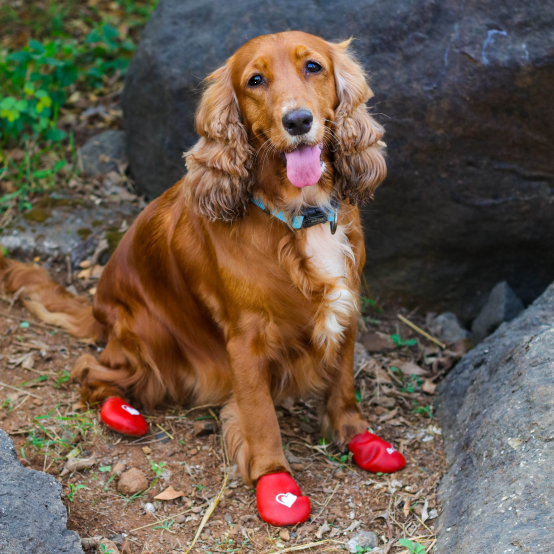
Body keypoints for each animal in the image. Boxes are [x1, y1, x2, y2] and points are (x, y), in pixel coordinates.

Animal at [0, 32, 386, 488]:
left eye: (313, 67)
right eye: (255, 80)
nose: (297, 121)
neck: (298, 215)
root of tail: (98, 308)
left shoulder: (346, 306)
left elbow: (342, 382)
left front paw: (355, 434)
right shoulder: (246, 340)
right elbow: (259, 414)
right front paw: (274, 478)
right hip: (150, 337)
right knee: (91, 371)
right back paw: (121, 410)